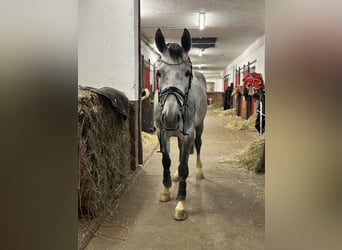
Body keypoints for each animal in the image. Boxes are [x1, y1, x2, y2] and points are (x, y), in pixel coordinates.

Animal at [154, 28, 207, 221]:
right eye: (158, 73)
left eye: (187, 73)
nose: (170, 117)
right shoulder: (162, 132)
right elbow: (166, 161)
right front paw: (165, 190)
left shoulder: (188, 135)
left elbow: (185, 168)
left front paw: (180, 204)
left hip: (199, 128)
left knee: (198, 146)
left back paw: (199, 172)